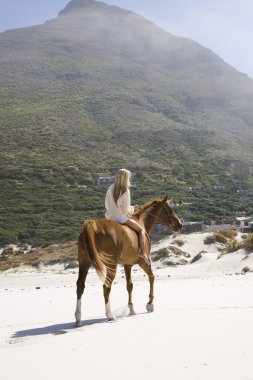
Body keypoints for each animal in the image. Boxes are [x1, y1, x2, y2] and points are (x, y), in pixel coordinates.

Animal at [74, 194, 182, 326]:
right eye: (170, 209)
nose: (180, 224)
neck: (141, 222)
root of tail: (93, 224)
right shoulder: (144, 262)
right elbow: (151, 277)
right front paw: (150, 304)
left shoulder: (127, 265)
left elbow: (129, 285)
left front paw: (131, 309)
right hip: (111, 265)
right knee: (106, 287)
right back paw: (110, 315)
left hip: (84, 262)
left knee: (80, 286)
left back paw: (78, 317)